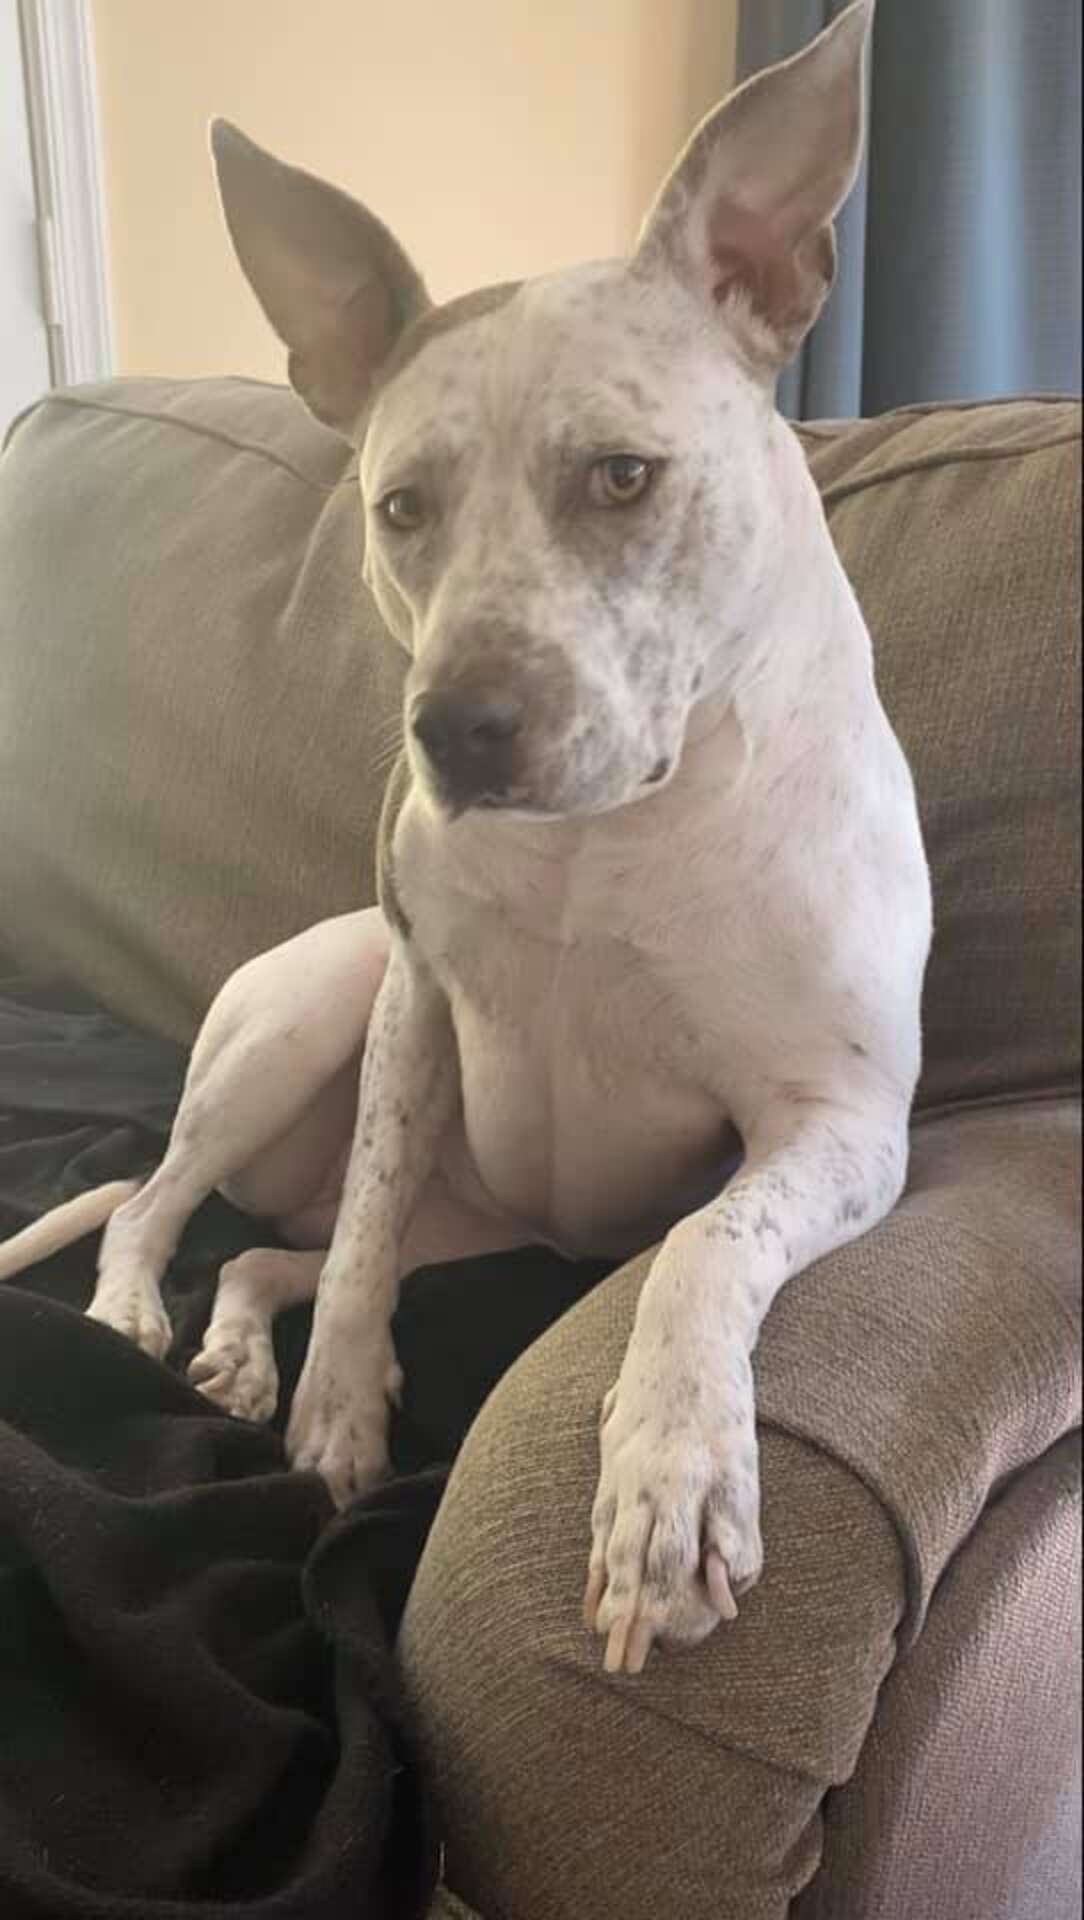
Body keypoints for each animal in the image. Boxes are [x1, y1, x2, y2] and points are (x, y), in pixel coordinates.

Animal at [0, 0, 928, 1674]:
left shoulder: (839, 1125)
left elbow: (702, 1249)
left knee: (263, 1249)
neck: (606, 835)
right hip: (302, 1019)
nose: (459, 730)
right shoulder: (415, 1011)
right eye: (400, 509)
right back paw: (146, 1328)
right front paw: (336, 1421)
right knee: (171, 1206)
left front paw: (671, 1480)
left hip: (472, 1222)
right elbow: (368, 1224)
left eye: (622, 475)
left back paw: (237, 1346)